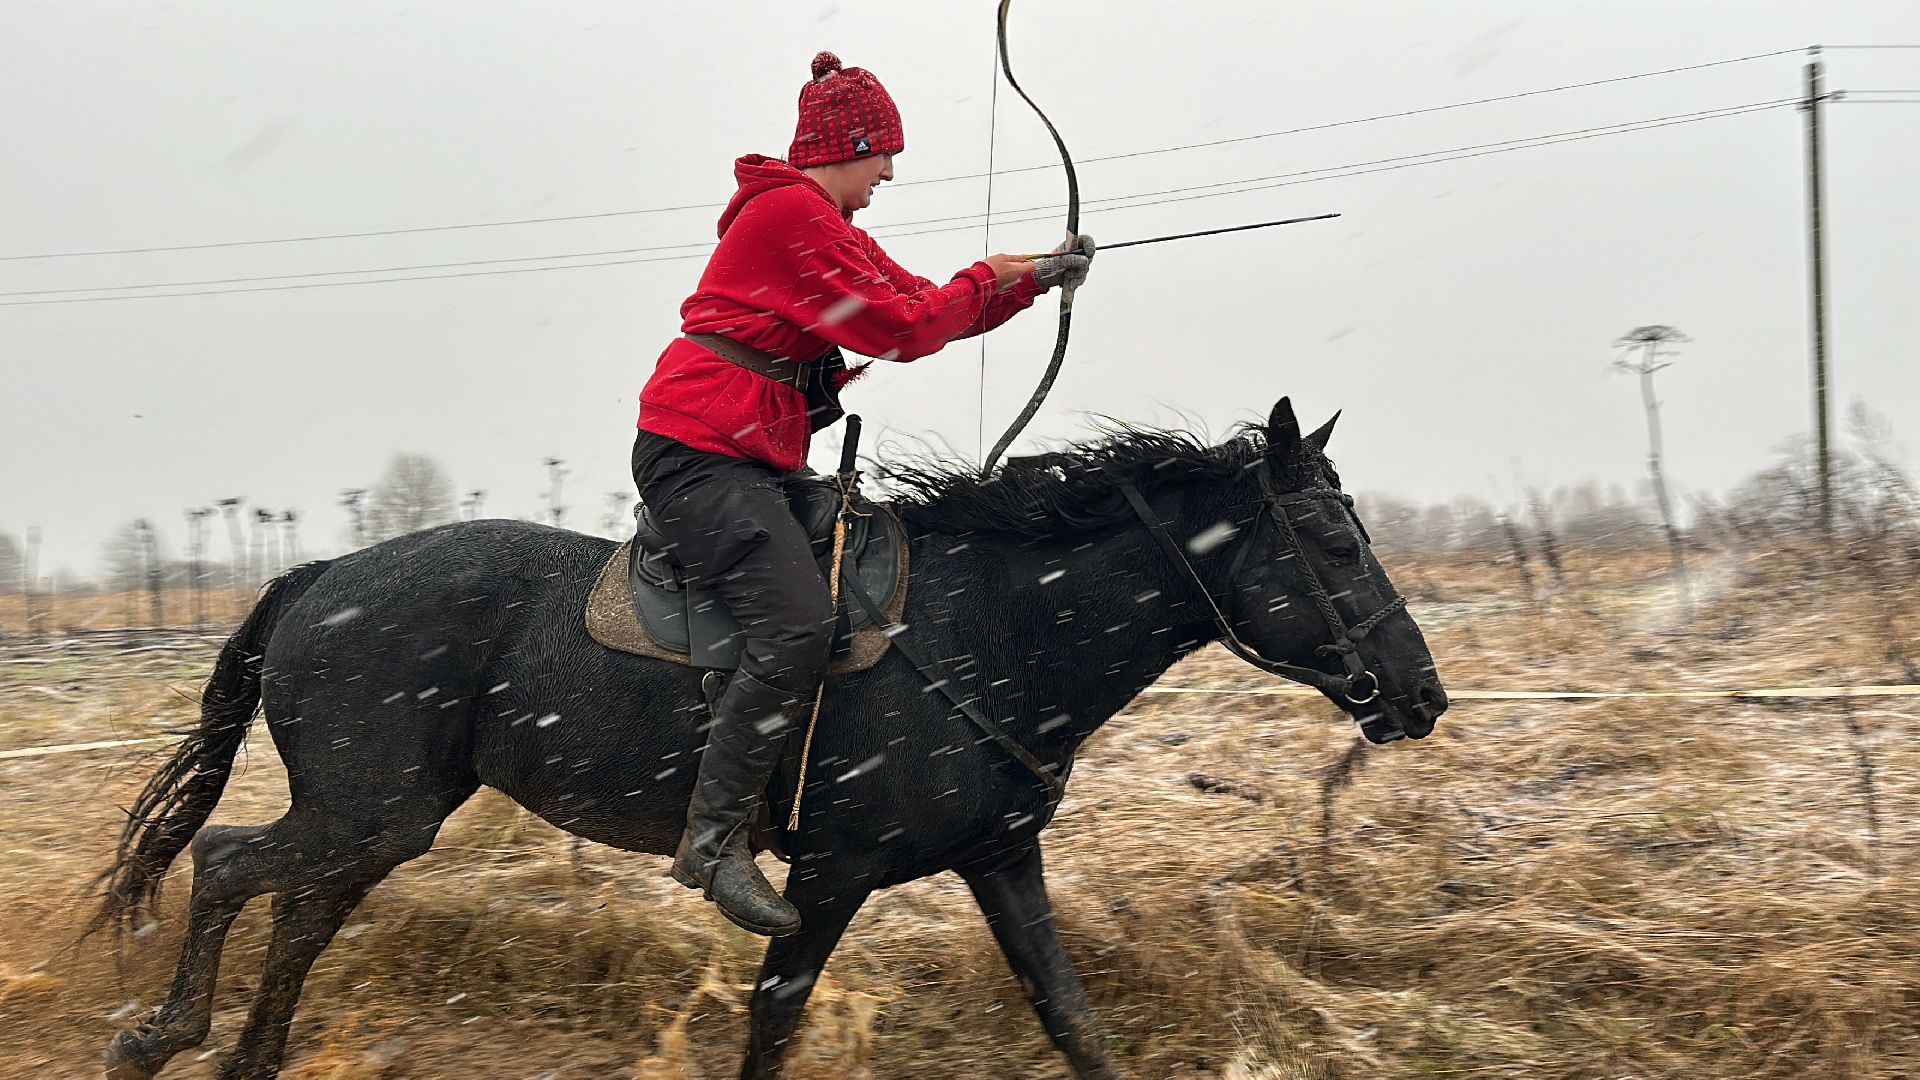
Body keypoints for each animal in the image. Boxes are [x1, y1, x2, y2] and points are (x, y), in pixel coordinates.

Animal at [95, 397, 1448, 1079]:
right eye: (1333, 540)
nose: (1420, 695)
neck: (992, 627)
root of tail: (317, 578)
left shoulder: (1002, 859)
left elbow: (1073, 1018)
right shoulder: (830, 876)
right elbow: (775, 1021)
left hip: (387, 817)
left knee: (300, 909)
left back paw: (247, 1058)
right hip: (366, 807)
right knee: (227, 864)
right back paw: (156, 1037)